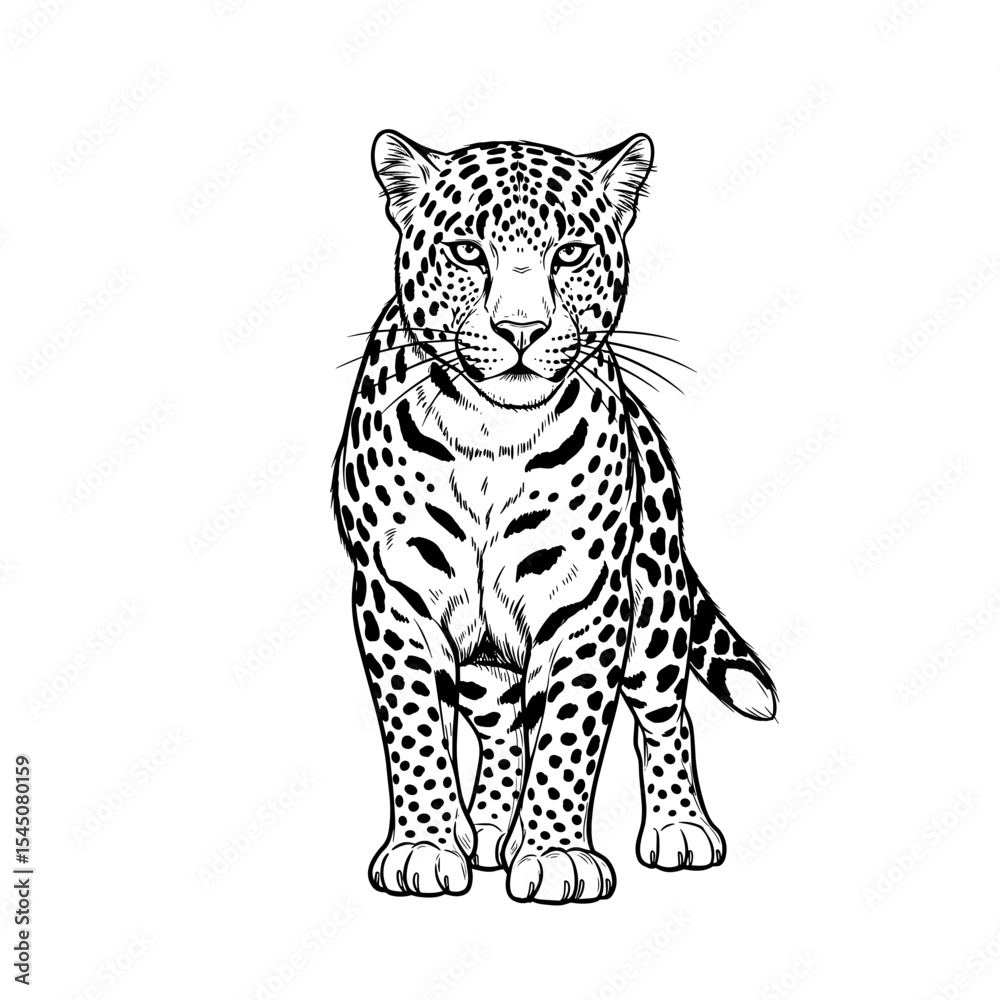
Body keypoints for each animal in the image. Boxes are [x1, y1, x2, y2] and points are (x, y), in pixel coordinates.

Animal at [331, 129, 777, 904]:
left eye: (569, 254)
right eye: (466, 251)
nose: (520, 329)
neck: (490, 436)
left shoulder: (589, 606)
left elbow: (570, 735)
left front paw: (558, 856)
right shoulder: (394, 598)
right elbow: (416, 730)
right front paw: (426, 846)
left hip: (656, 609)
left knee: (667, 715)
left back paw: (679, 829)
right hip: (485, 661)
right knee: (502, 728)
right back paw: (485, 832)